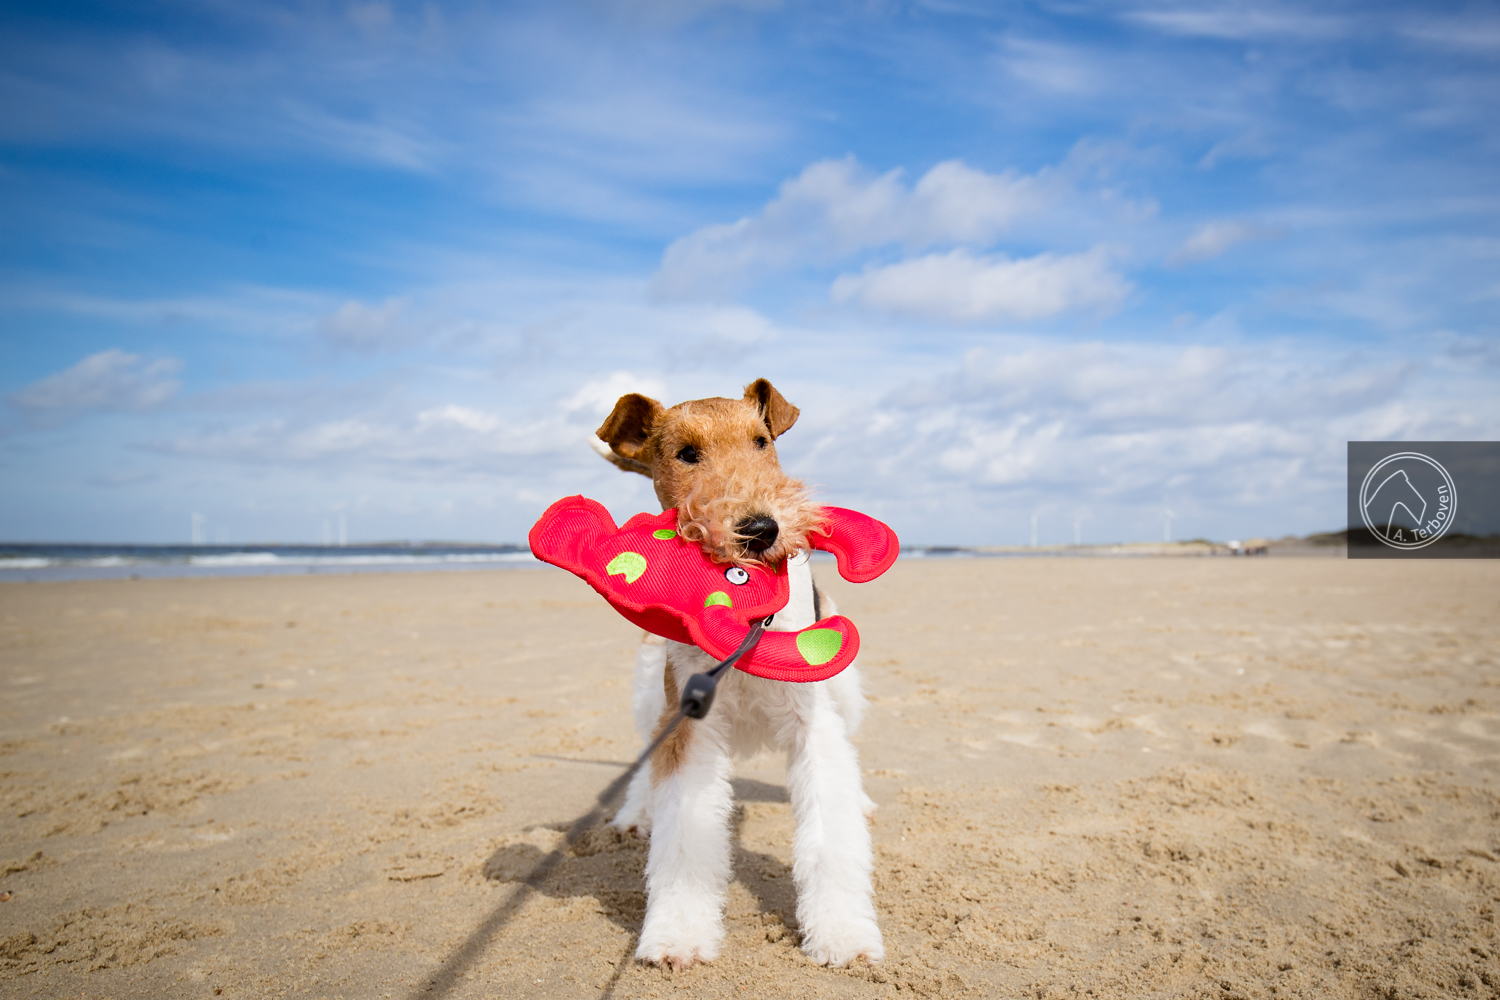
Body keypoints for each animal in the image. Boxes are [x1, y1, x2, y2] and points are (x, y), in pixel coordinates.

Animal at [591, 377, 882, 971]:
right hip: (650, 695)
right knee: (643, 767)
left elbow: (831, 833)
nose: (761, 528)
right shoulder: (690, 727)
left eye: (762, 441)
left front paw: (843, 938)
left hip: (846, 692)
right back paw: (634, 815)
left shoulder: (812, 723)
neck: (747, 618)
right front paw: (677, 938)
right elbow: (683, 837)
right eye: (686, 454)